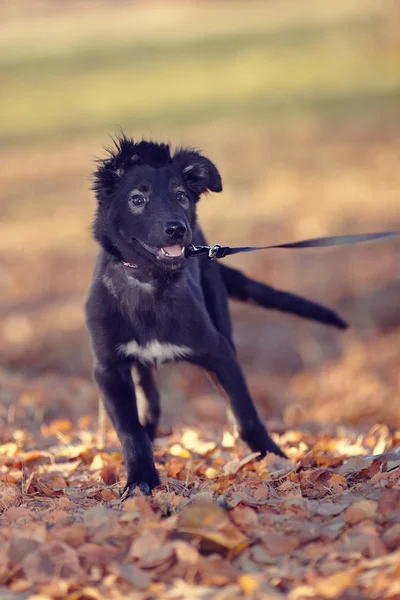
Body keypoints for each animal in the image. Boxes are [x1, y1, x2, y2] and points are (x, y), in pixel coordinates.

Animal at [85, 136, 346, 496]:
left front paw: (276, 459)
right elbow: (129, 429)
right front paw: (140, 479)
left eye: (180, 195)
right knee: (150, 403)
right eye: (137, 199)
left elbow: (245, 416)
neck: (151, 283)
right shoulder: (108, 369)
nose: (177, 229)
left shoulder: (219, 352)